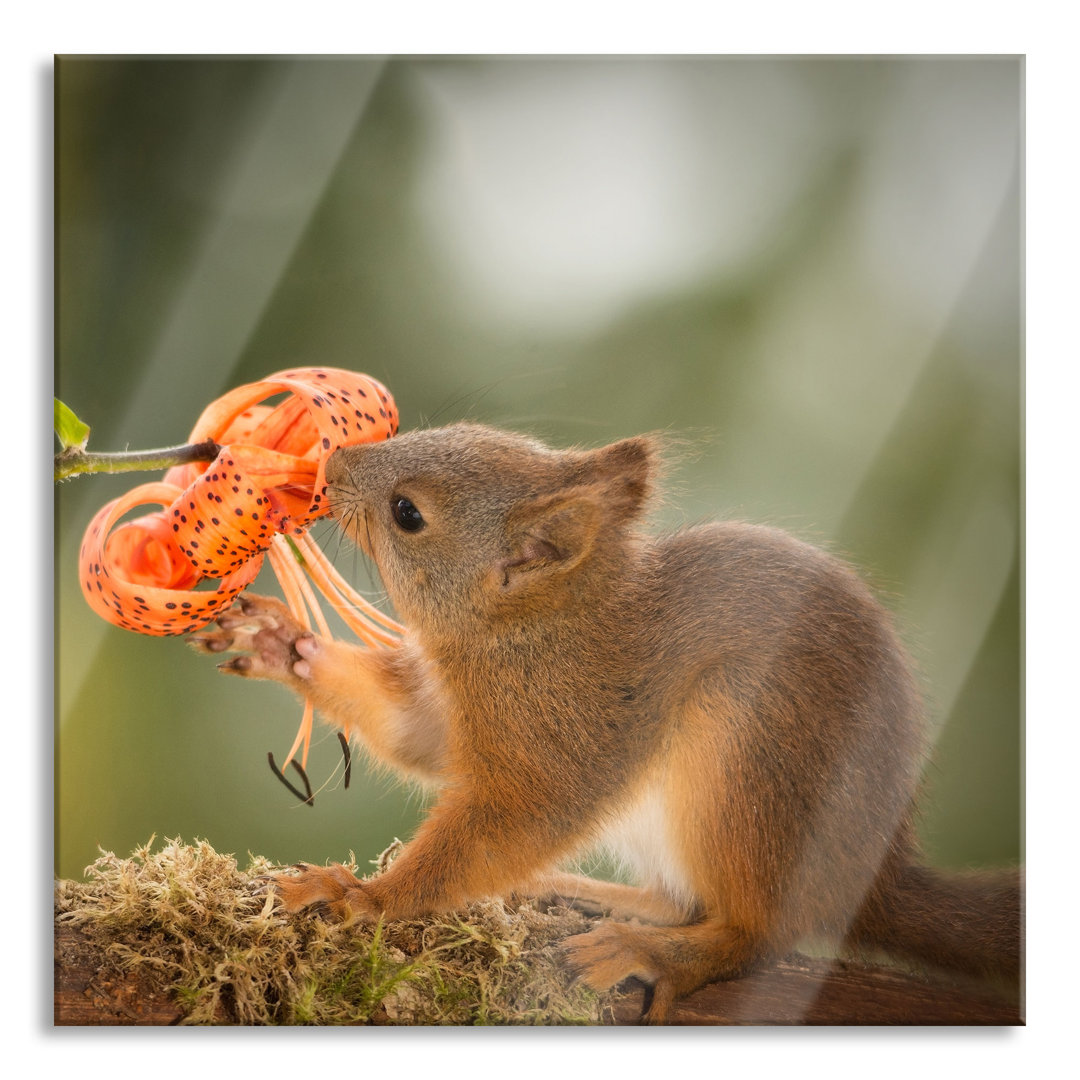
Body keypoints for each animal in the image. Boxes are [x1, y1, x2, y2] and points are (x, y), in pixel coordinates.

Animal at [192, 419, 1019, 1019]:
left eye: (408, 514)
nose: (330, 467)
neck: (533, 630)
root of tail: (870, 871)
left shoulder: (564, 735)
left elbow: (503, 825)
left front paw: (366, 898)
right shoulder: (458, 714)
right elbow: (415, 737)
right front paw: (280, 642)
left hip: (747, 764)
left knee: (754, 932)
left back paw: (654, 953)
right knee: (678, 899)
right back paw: (580, 893)